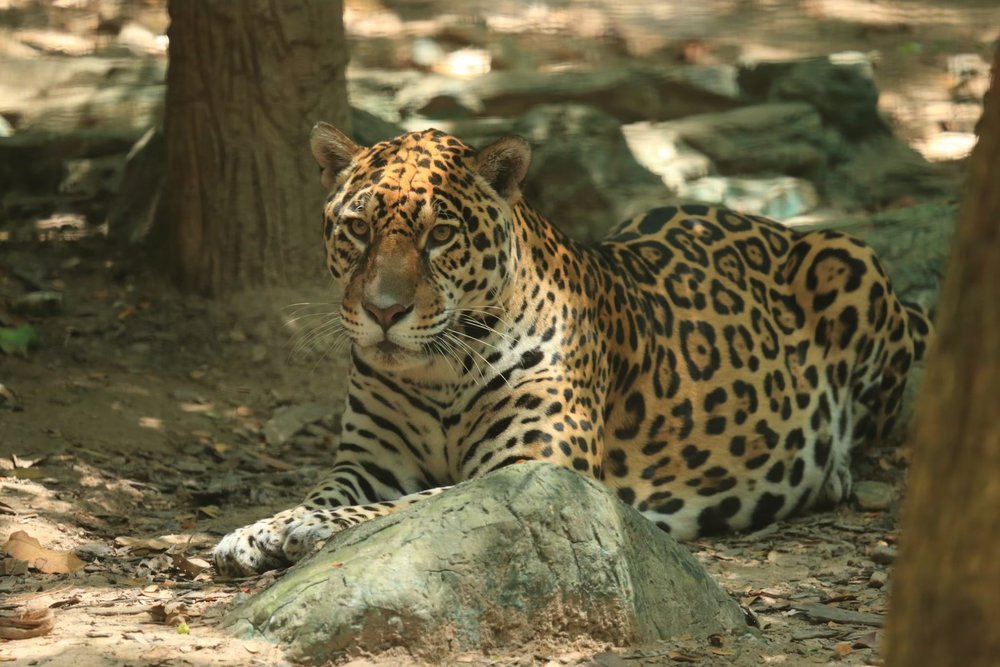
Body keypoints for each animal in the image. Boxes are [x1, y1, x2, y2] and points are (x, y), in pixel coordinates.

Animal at [214, 124, 931, 576]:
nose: (383, 312)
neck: (439, 373)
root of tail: (775, 224)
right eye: (358, 229)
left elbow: (413, 502)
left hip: (847, 260)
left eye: (440, 234)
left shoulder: (531, 469)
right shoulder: (369, 458)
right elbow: (320, 491)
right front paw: (259, 528)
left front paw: (310, 530)